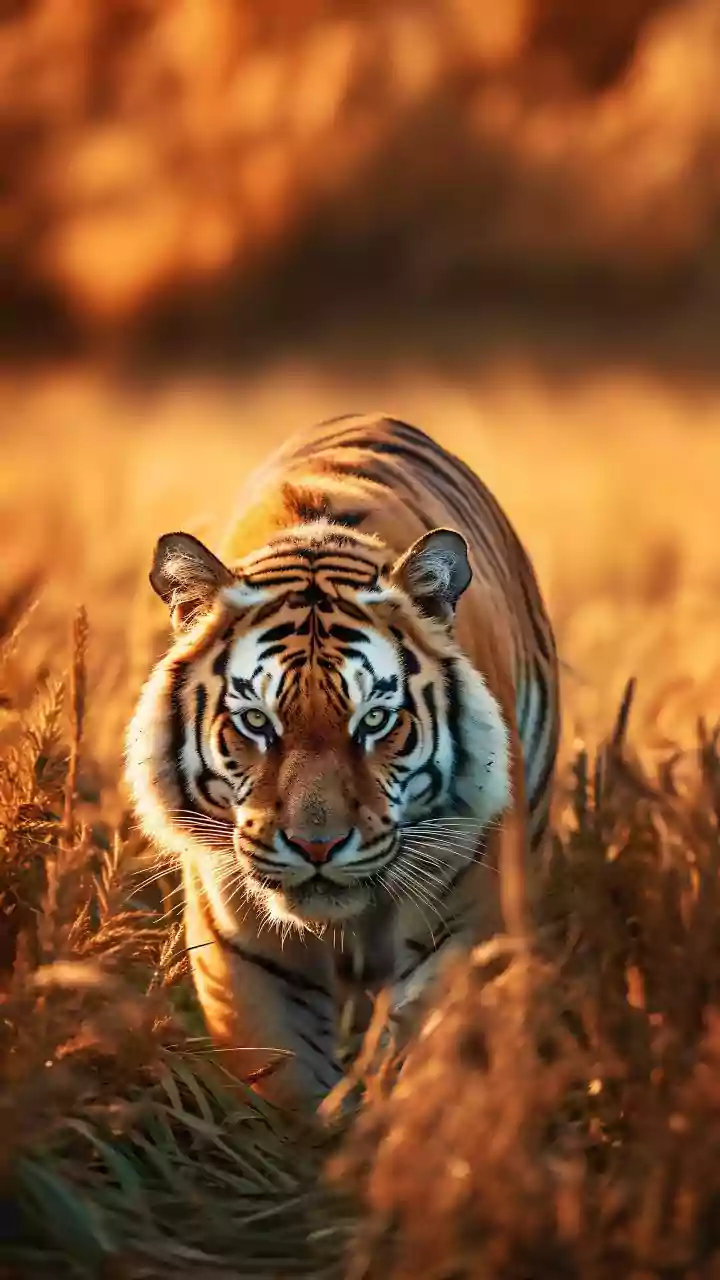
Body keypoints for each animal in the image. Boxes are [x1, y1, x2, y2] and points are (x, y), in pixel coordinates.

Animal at [125, 414, 559, 1112]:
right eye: (256, 722)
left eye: (375, 721)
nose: (317, 846)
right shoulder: (244, 960)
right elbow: (288, 1087)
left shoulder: (473, 922)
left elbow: (433, 1053)